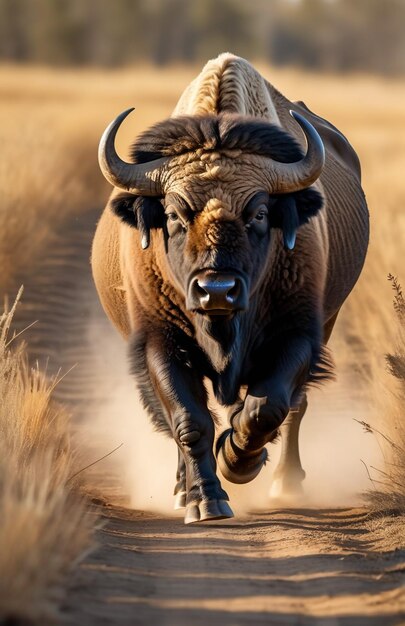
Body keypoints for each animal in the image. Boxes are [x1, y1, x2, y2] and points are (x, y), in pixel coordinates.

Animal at [92, 53, 370, 520]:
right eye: (173, 215)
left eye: (259, 213)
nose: (217, 290)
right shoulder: (160, 343)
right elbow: (190, 420)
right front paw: (206, 501)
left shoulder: (299, 335)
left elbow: (267, 407)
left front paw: (238, 461)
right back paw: (182, 490)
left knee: (295, 407)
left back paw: (285, 484)